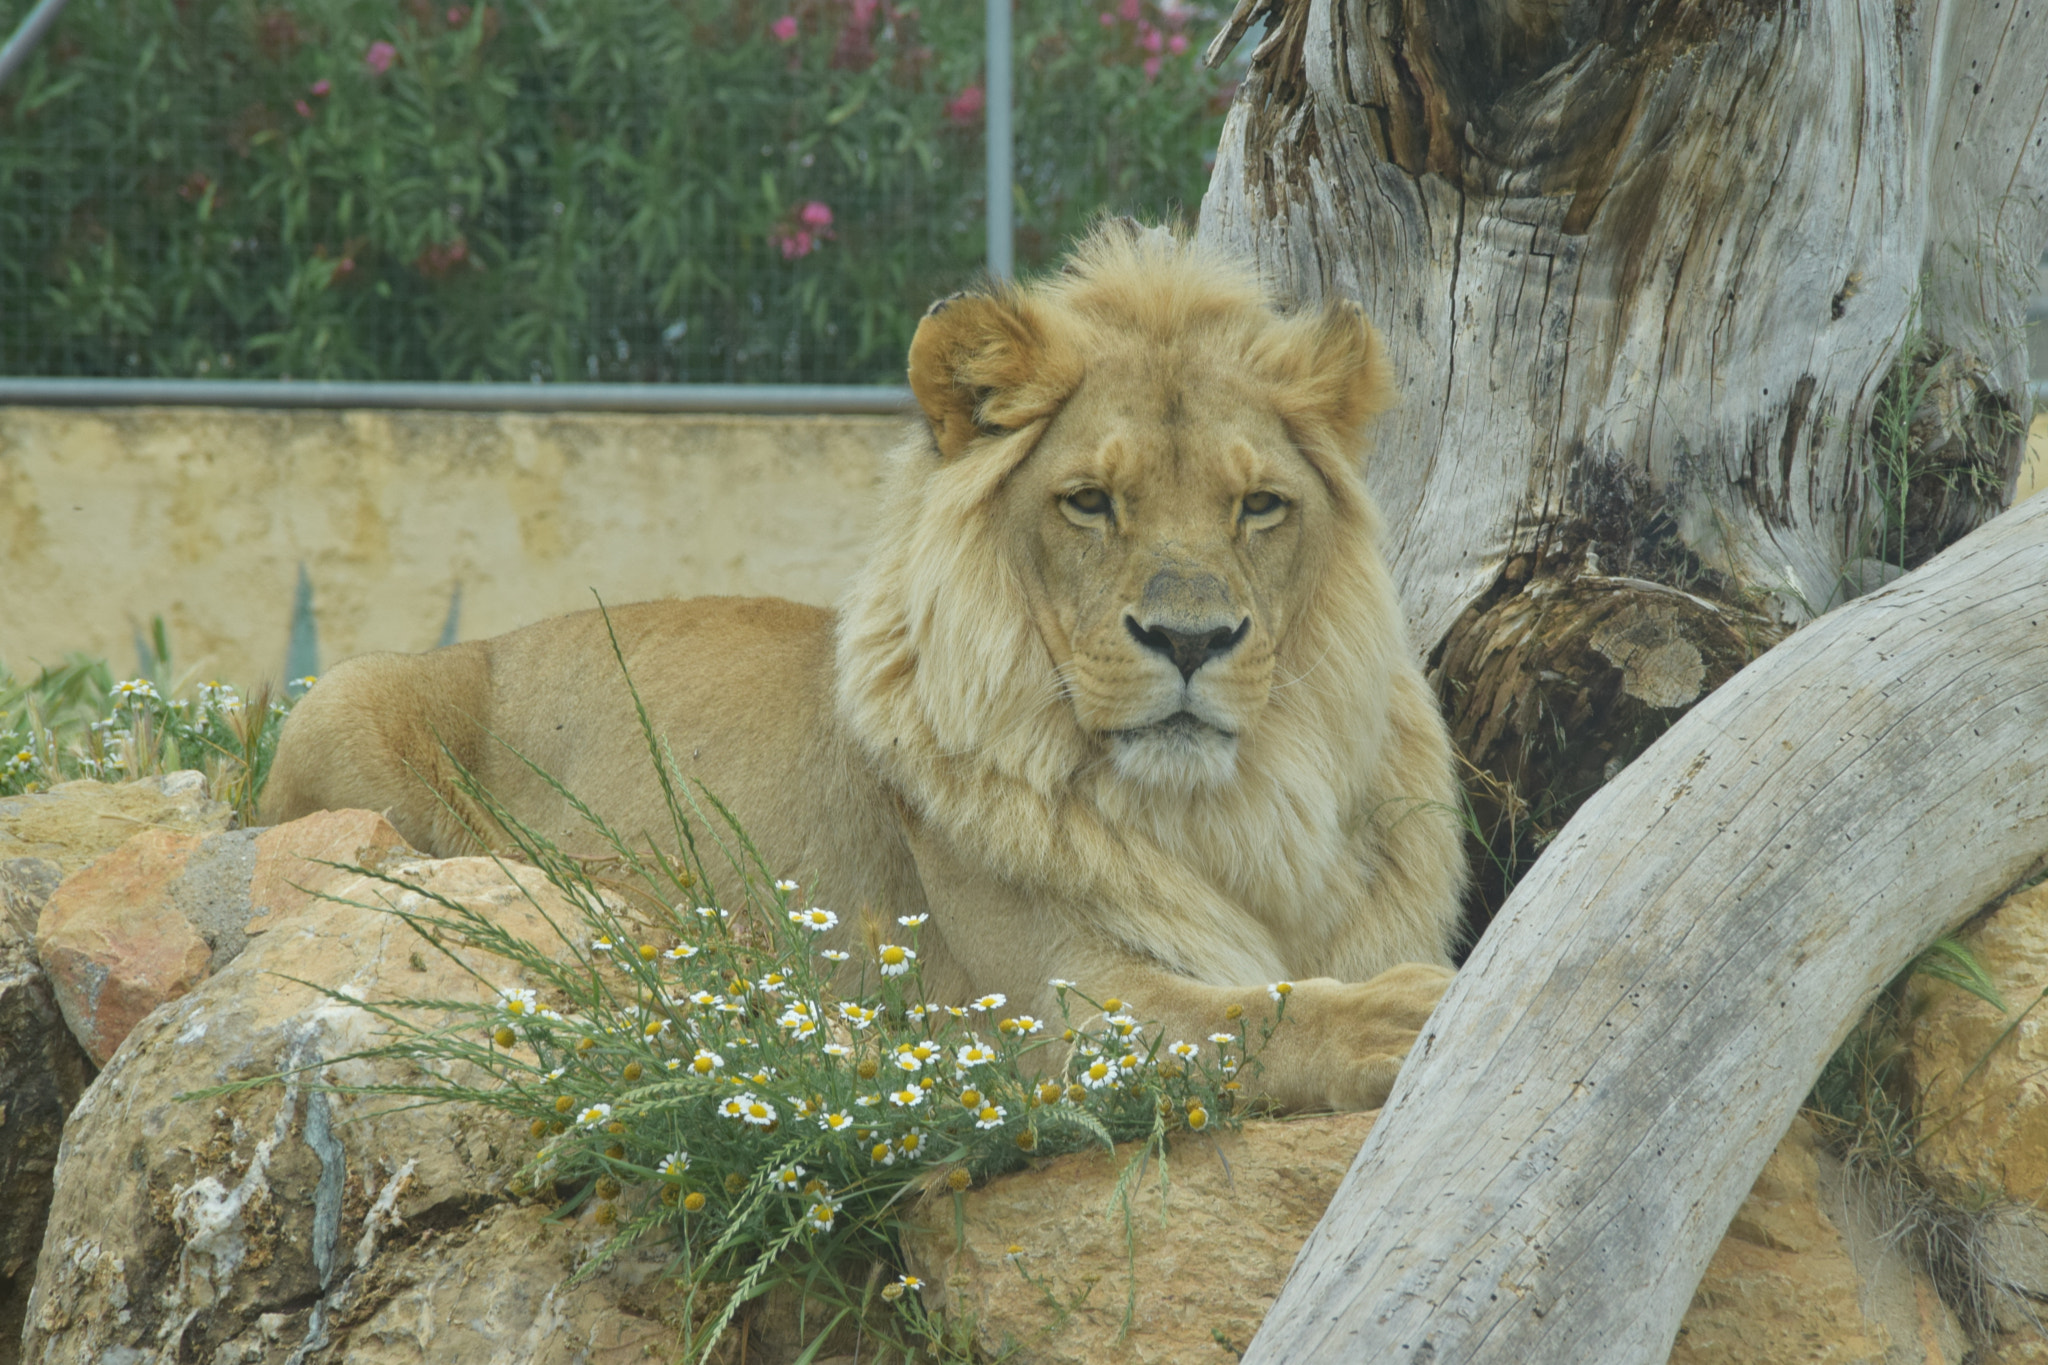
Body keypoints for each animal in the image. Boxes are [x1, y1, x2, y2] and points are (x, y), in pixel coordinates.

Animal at [260, 223, 1465, 1112]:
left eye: (1258, 506)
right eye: (1088, 501)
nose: (1190, 640)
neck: (1234, 817)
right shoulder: (1045, 1007)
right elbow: (1251, 1013)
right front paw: (1404, 1016)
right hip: (340, 703)